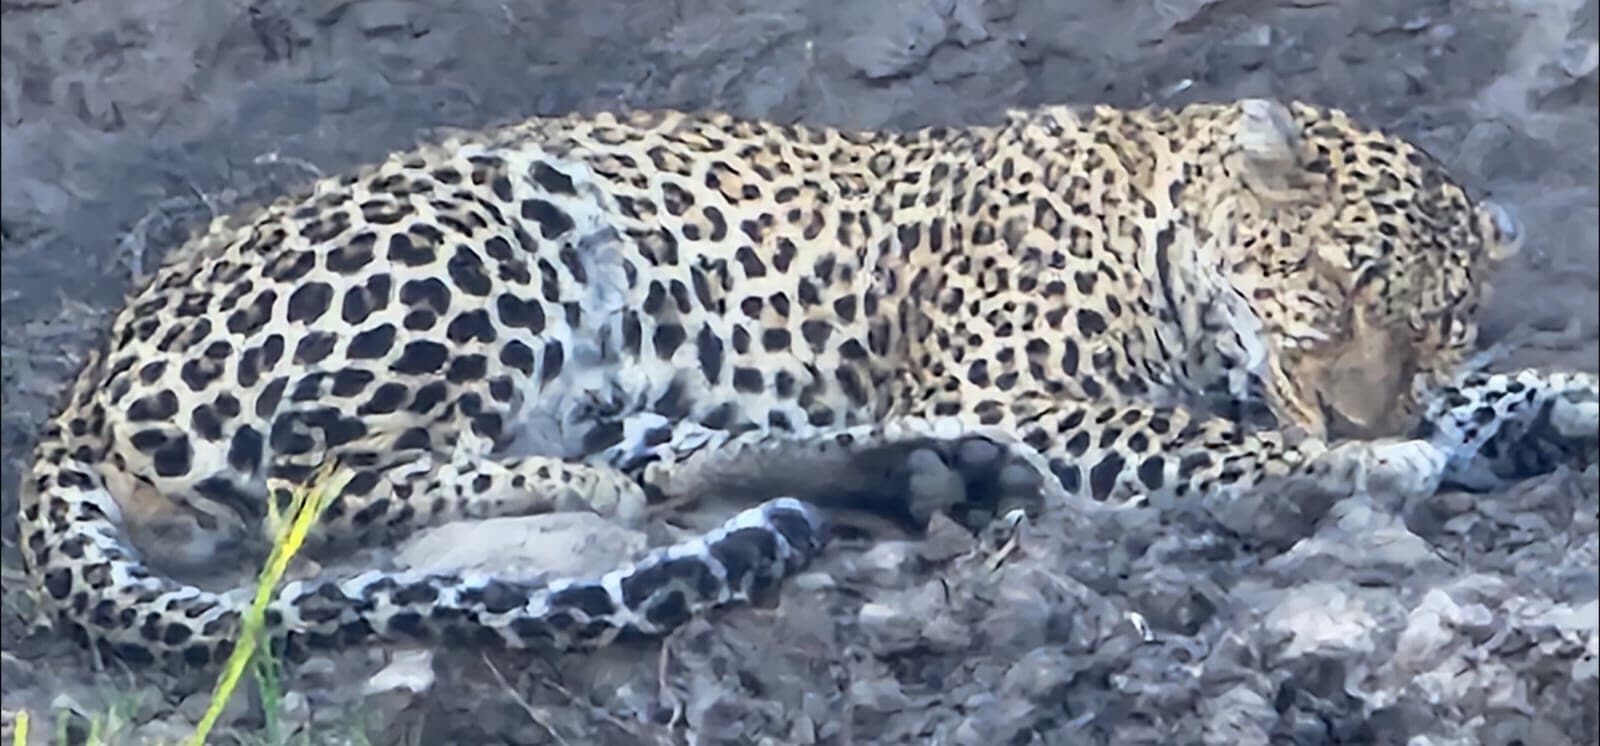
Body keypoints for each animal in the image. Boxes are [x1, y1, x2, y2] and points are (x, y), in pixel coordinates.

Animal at [17, 98, 1598, 670]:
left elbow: (1486, 399)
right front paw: (1363, 462)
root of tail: (83, 375)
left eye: (1441, 329)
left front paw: (1548, 403)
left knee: (678, 455)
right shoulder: (1014, 383)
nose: (1366, 409)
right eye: (1334, 287)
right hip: (500, 207)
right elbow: (1196, 440)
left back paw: (905, 474)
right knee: (317, 484)